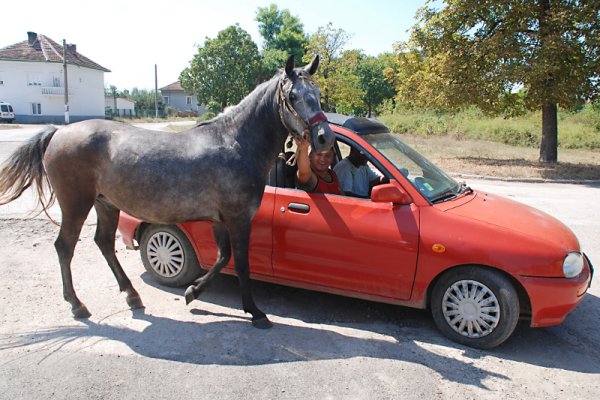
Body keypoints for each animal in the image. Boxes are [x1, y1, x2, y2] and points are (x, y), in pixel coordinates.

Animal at [0, 54, 332, 328]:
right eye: (293, 96)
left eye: (317, 95)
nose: (325, 138)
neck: (236, 143)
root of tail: (59, 132)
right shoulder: (238, 218)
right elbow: (241, 263)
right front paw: (256, 312)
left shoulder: (219, 219)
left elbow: (223, 257)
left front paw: (193, 292)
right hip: (76, 204)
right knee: (65, 247)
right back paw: (77, 305)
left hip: (105, 203)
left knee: (104, 243)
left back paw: (132, 296)